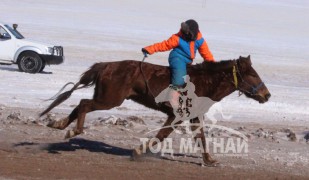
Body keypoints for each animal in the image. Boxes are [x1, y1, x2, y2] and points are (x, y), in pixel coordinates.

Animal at [40, 55, 270, 165]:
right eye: (253, 75)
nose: (267, 95)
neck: (204, 82)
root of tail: (106, 65)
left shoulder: (193, 116)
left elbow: (201, 137)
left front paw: (210, 160)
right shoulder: (177, 115)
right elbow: (162, 135)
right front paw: (137, 152)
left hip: (105, 97)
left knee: (80, 104)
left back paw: (59, 124)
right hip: (109, 99)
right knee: (84, 104)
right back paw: (72, 130)